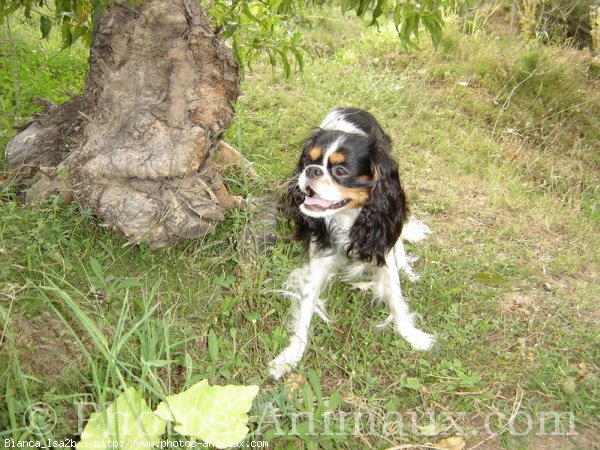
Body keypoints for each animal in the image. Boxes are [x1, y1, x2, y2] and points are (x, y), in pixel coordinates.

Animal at [270, 107, 434, 378]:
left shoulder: (382, 247)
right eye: (307, 162)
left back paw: (407, 270)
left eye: (340, 172)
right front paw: (291, 355)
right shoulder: (318, 261)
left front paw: (413, 335)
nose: (311, 171)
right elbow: (305, 310)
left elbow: (396, 296)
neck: (348, 218)